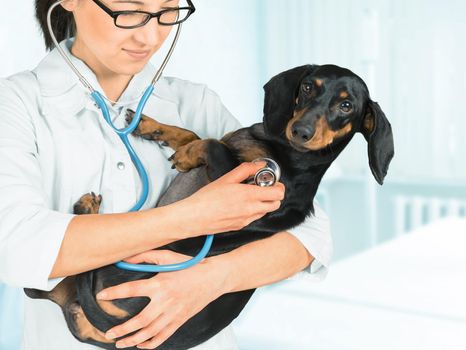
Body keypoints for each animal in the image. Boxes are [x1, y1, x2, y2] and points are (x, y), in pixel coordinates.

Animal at [24, 64, 394, 348]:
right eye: (306, 87)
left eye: (346, 106)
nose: (301, 131)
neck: (288, 155)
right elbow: (194, 133)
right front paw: (149, 126)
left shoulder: (233, 183)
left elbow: (212, 142)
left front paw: (187, 154)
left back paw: (87, 210)